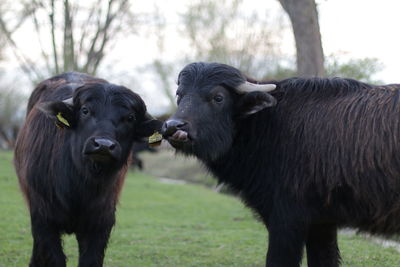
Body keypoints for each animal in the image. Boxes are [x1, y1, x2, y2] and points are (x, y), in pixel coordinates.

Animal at [14, 72, 161, 266]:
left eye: (130, 118)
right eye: (85, 111)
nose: (103, 145)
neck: (78, 186)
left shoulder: (101, 222)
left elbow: (90, 260)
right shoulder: (42, 218)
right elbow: (54, 258)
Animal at [161, 61, 400, 266]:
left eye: (218, 97)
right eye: (180, 95)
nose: (173, 126)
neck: (268, 124)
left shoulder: (286, 219)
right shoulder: (322, 222)